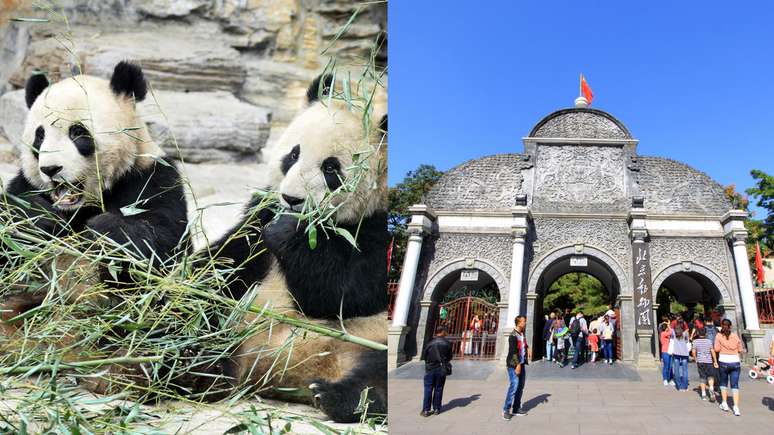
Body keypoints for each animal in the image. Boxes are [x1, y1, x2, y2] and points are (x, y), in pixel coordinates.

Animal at [0, 62, 189, 388]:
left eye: (78, 132)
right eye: (39, 137)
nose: (50, 169)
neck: (80, 207)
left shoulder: (153, 179)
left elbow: (161, 244)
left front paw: (104, 230)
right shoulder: (22, 187)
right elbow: (11, 237)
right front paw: (40, 219)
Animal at [203, 76, 388, 424]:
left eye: (331, 168)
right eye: (292, 154)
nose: (291, 199)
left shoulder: (379, 225)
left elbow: (346, 293)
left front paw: (287, 232)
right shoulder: (259, 213)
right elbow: (225, 261)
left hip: (374, 336)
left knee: (382, 372)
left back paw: (338, 398)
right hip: (237, 326)